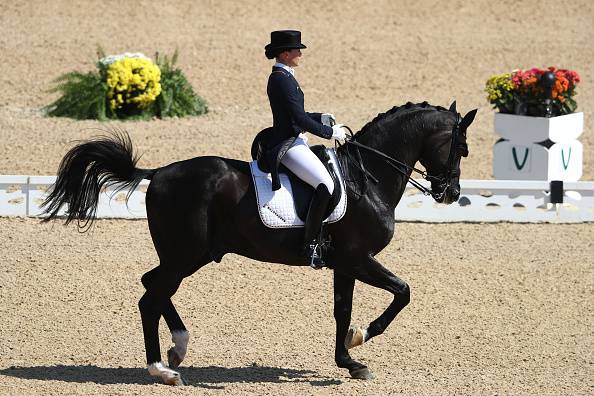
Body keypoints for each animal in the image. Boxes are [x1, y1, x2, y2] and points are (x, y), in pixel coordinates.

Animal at [41, 101, 476, 384]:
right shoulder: (359, 258)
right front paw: (362, 337)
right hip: (184, 255)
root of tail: (159, 172)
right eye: (461, 148)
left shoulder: (345, 263)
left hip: (192, 255)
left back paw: (178, 348)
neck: (366, 178)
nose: (452, 194)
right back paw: (162, 369)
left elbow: (342, 311)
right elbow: (402, 292)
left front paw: (349, 360)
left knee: (153, 285)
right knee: (150, 297)